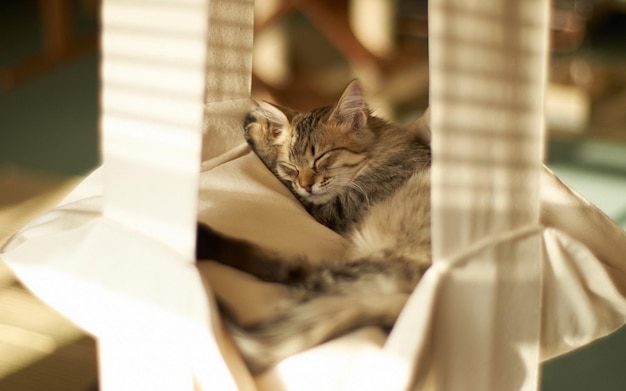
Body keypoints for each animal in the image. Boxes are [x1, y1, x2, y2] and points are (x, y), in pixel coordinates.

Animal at [197, 79, 432, 374]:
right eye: (292, 167)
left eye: (320, 159)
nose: (306, 185)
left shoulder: (336, 209)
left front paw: (258, 129)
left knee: (292, 275)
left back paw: (205, 242)